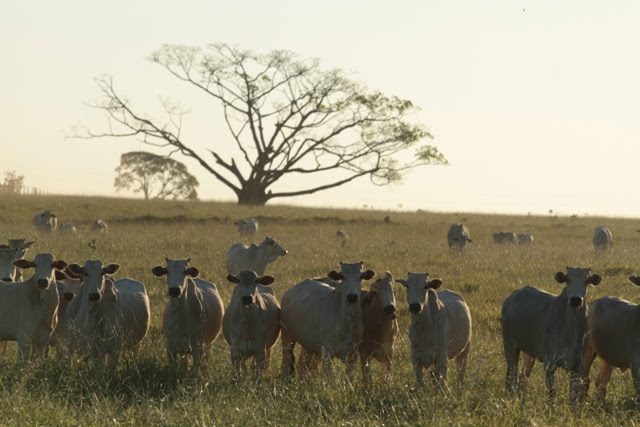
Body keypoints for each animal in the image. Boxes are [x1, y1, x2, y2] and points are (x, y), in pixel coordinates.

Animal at [502, 266, 604, 402]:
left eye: (586, 281)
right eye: (567, 279)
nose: (576, 300)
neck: (571, 332)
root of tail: (512, 297)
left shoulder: (577, 367)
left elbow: (572, 397)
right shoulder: (550, 365)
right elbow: (551, 395)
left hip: (528, 353)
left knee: (523, 377)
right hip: (510, 345)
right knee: (512, 378)